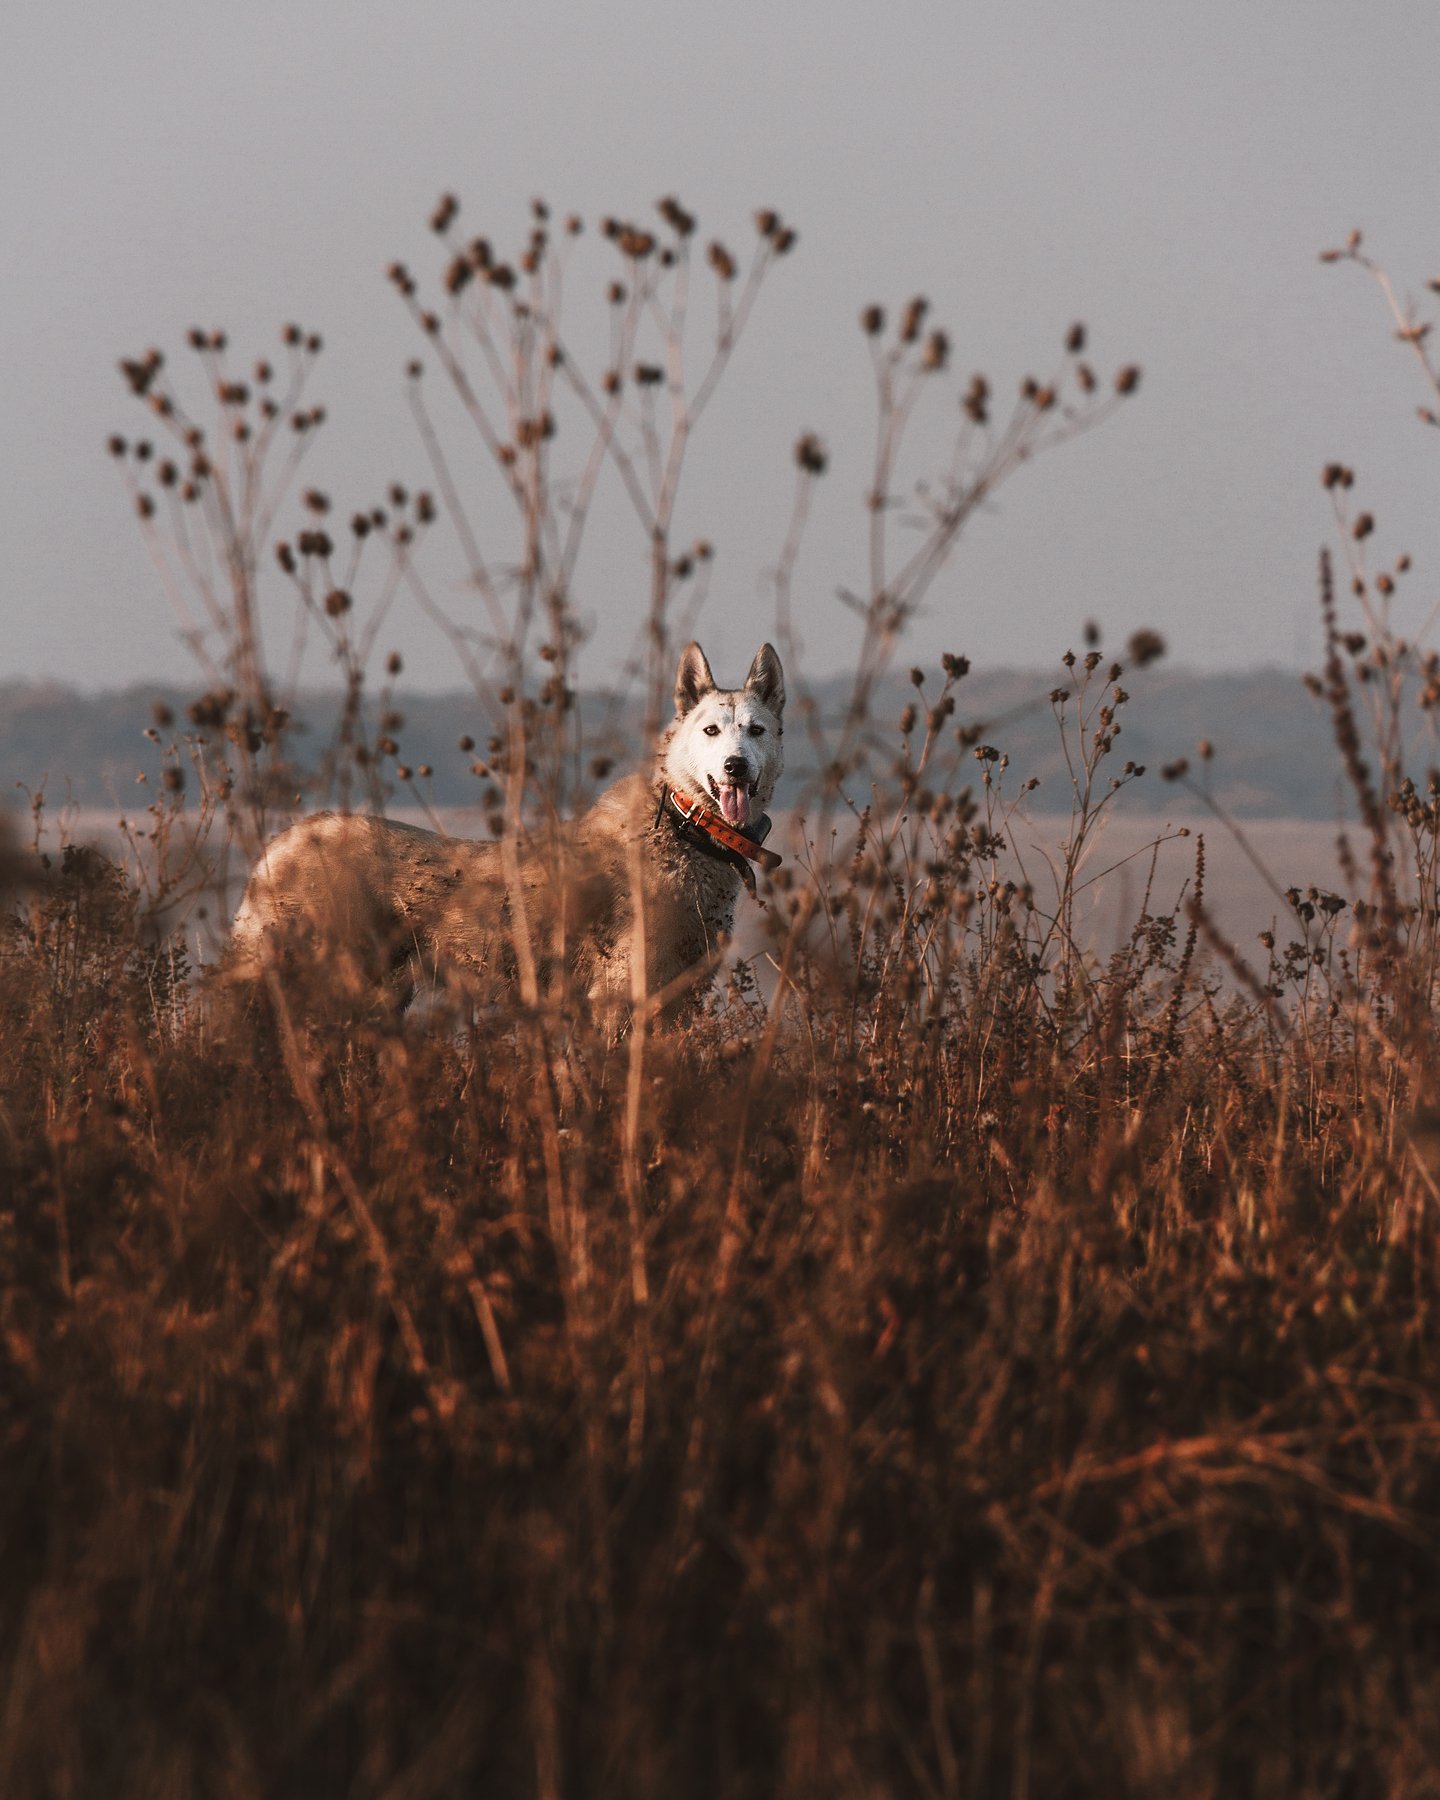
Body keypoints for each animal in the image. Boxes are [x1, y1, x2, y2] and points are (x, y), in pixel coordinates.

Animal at [227, 644, 788, 1015]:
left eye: (756, 731)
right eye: (711, 731)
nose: (736, 765)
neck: (684, 830)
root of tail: (277, 848)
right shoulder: (617, 1001)